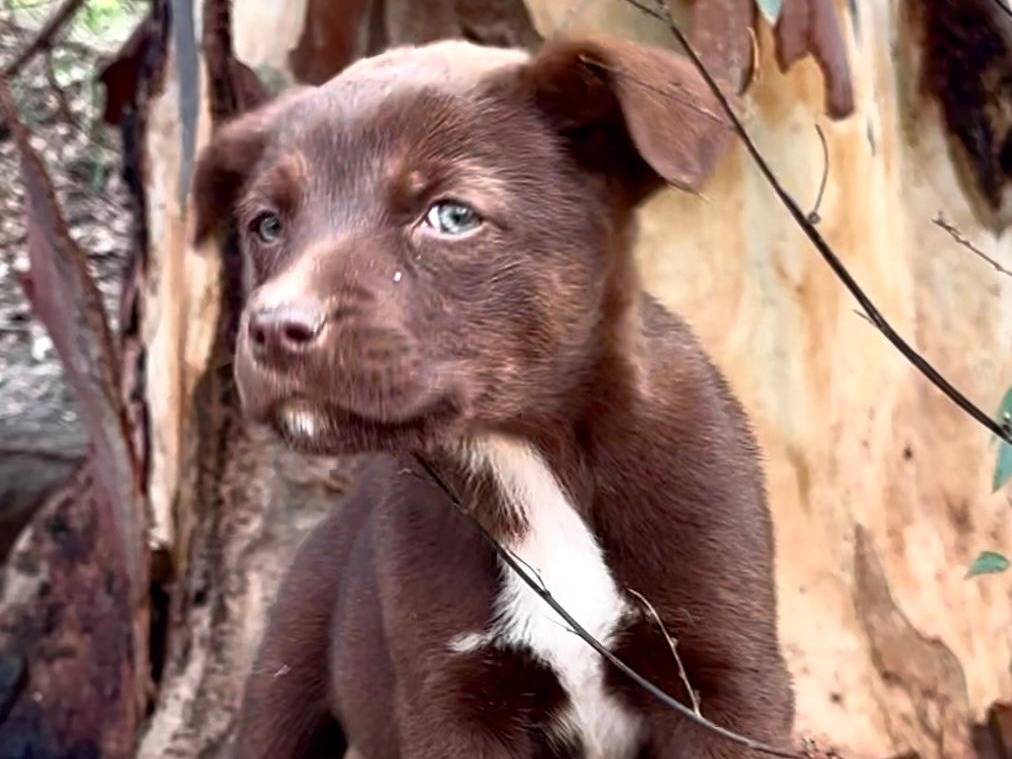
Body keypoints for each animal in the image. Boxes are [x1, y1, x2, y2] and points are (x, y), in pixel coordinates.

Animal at [190, 34, 793, 759]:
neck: (523, 452)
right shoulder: (451, 696)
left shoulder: (726, 681)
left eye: (453, 216)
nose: (275, 328)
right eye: (268, 226)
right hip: (282, 690)